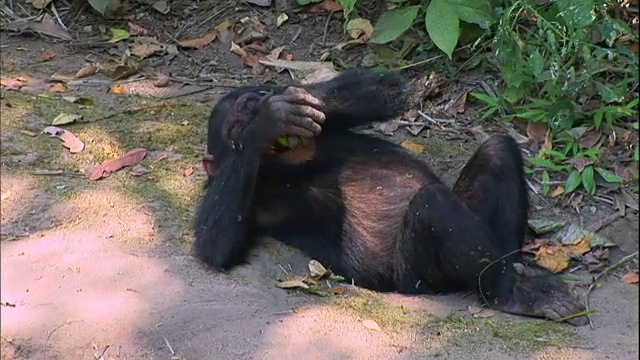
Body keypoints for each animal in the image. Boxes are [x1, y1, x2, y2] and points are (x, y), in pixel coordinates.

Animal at [192, 67, 588, 326]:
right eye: (234, 127)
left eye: (249, 100)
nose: (250, 109)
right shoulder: (258, 201)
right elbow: (215, 247)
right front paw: (267, 122)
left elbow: (382, 87)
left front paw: (285, 101)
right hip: (419, 278)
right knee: (434, 204)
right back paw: (510, 294)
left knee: (497, 151)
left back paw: (517, 267)